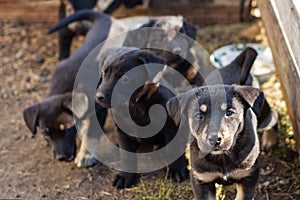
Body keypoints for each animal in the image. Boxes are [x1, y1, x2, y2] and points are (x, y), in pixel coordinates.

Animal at [95, 47, 189, 188]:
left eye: (125, 79)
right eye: (103, 73)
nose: (99, 96)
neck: (135, 105)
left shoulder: (170, 126)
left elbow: (174, 148)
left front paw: (177, 169)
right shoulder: (121, 131)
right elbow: (126, 156)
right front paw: (125, 177)